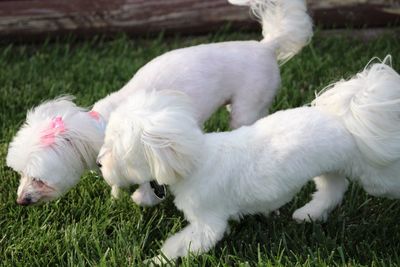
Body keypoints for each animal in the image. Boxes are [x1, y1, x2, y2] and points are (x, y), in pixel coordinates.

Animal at [5, 0, 312, 207]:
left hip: (248, 104)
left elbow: (147, 183)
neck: (100, 126)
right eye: (20, 174)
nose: (21, 201)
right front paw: (116, 197)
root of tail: (266, 46)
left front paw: (141, 198)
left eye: (39, 178)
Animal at [97, 56, 400, 264]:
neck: (196, 159)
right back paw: (308, 214)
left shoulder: (208, 224)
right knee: (332, 190)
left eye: (113, 149)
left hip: (375, 177)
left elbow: (181, 244)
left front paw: (157, 259)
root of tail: (346, 119)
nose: (99, 163)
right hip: (329, 167)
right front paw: (142, 199)